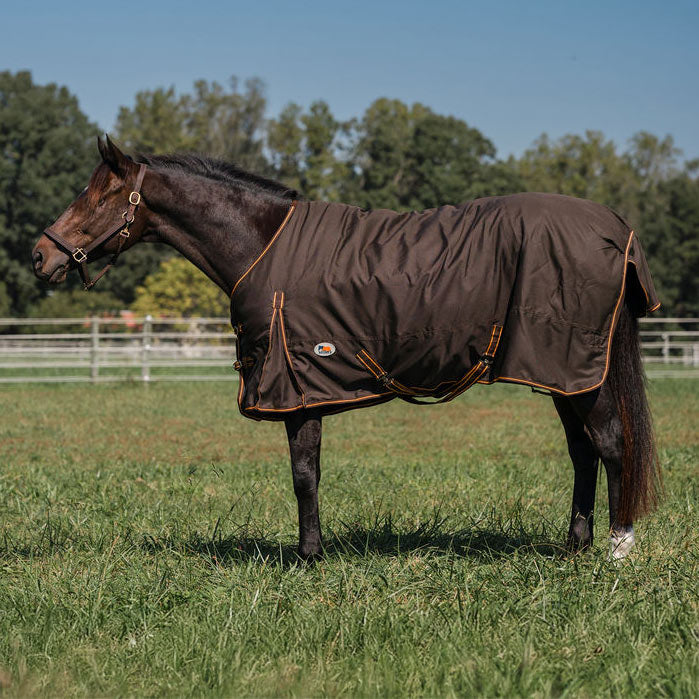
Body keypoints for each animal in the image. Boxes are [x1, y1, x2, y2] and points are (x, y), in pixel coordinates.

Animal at [32, 136, 661, 561]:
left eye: (96, 197)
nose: (41, 255)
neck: (261, 244)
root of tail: (616, 228)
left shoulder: (296, 385)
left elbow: (303, 474)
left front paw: (308, 558)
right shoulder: (304, 384)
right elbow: (309, 472)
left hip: (579, 371)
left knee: (609, 444)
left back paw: (617, 550)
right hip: (562, 373)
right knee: (583, 451)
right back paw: (576, 543)